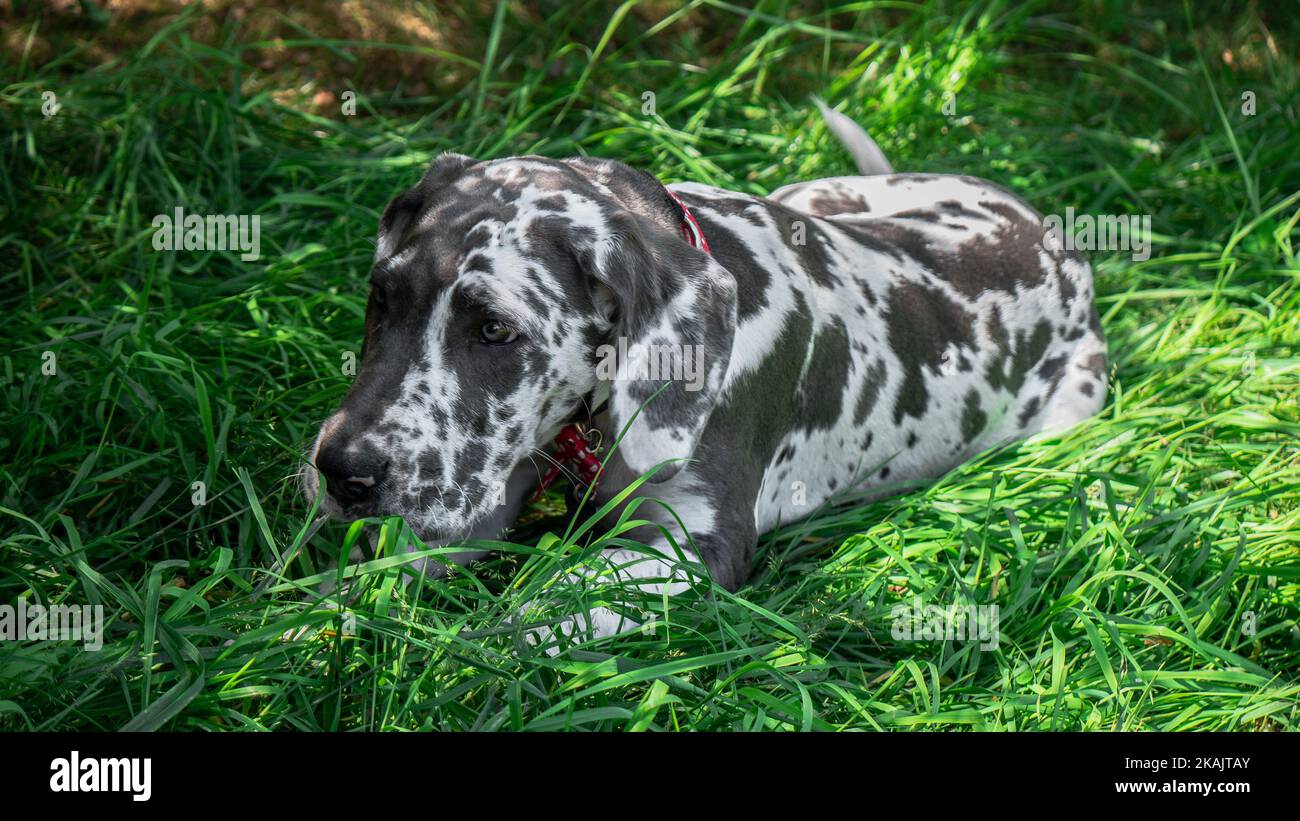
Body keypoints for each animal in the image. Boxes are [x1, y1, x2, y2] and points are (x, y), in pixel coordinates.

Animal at [304, 107, 1107, 646]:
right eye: (382, 296)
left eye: (496, 329)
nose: (341, 472)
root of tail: (1049, 232)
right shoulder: (489, 486)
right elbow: (389, 565)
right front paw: (314, 622)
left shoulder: (693, 547)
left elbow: (545, 604)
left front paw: (461, 657)